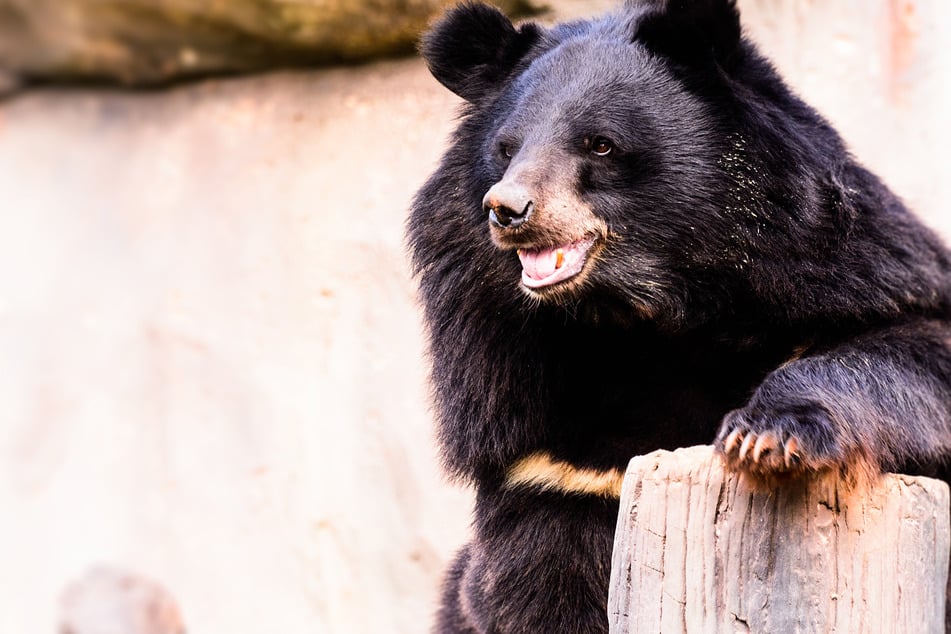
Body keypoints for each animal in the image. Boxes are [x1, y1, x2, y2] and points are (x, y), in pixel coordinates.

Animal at [406, 2, 951, 628]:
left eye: (601, 145)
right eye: (506, 147)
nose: (509, 209)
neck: (647, 315)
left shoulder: (844, 270)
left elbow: (907, 347)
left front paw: (764, 438)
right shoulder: (540, 448)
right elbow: (536, 577)